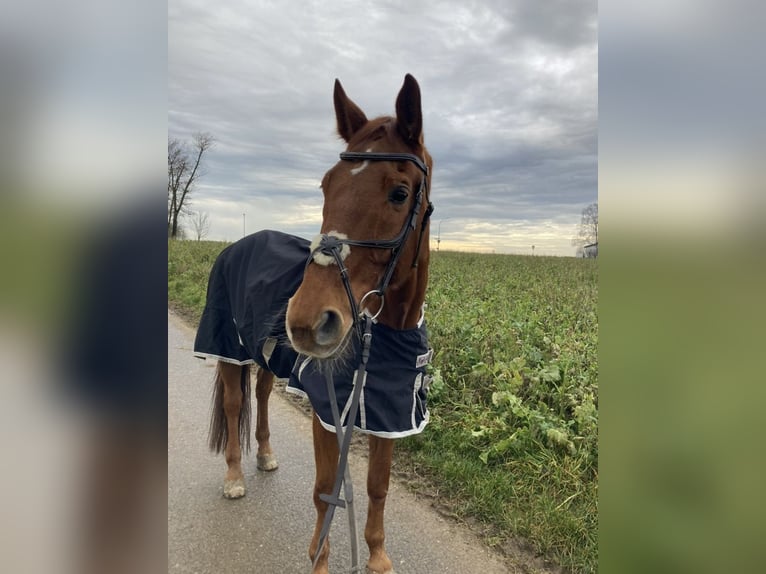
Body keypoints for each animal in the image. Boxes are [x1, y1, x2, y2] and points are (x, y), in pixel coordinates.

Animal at [195, 76, 436, 574]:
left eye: (399, 192)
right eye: (327, 185)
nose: (308, 319)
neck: (385, 335)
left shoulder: (389, 415)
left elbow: (378, 487)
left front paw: (377, 557)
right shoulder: (328, 412)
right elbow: (326, 493)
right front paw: (319, 560)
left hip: (267, 357)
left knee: (262, 395)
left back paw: (266, 455)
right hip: (228, 350)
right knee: (234, 405)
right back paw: (234, 477)